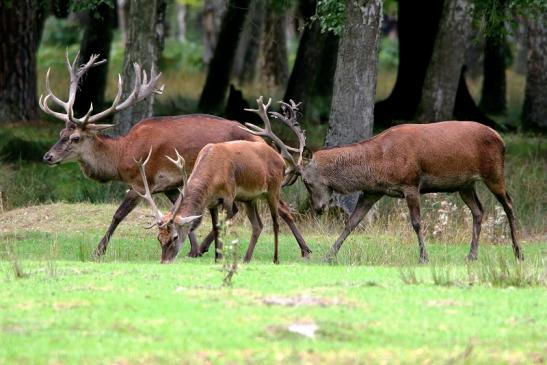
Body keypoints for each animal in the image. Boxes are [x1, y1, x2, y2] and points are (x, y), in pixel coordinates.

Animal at [134, 97, 308, 262]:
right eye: (159, 238)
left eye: (175, 237)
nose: (164, 260)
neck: (212, 176)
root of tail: (280, 159)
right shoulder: (212, 202)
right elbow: (216, 225)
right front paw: (217, 257)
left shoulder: (229, 196)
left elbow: (223, 225)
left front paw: (219, 255)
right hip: (250, 198)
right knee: (258, 225)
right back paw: (246, 258)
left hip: (273, 189)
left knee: (276, 222)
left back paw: (277, 258)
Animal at [242, 96, 524, 262]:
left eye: (308, 182)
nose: (319, 208)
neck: (379, 163)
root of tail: (501, 139)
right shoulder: (373, 190)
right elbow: (352, 222)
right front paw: (329, 254)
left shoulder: (411, 183)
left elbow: (416, 223)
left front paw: (423, 257)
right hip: (464, 184)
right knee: (479, 210)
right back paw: (472, 255)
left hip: (494, 172)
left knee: (509, 204)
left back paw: (518, 251)